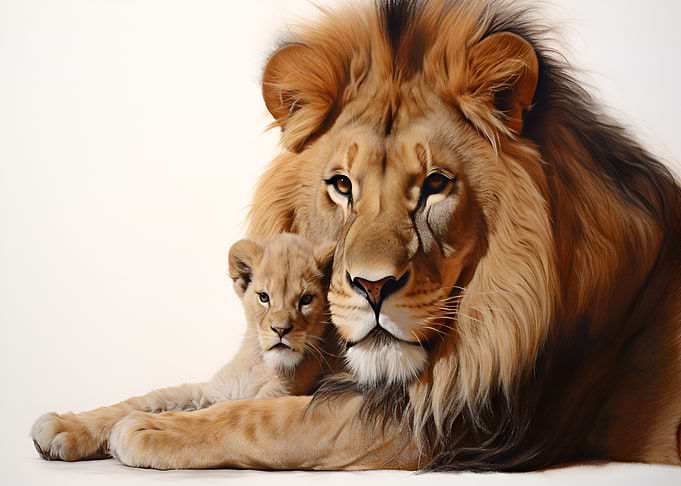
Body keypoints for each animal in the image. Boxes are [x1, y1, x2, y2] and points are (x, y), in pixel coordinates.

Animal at [32, 233, 339, 461]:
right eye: (264, 297)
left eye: (306, 299)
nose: (281, 330)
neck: (260, 362)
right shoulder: (213, 391)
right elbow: (146, 401)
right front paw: (60, 428)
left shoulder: (277, 395)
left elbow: (220, 414)